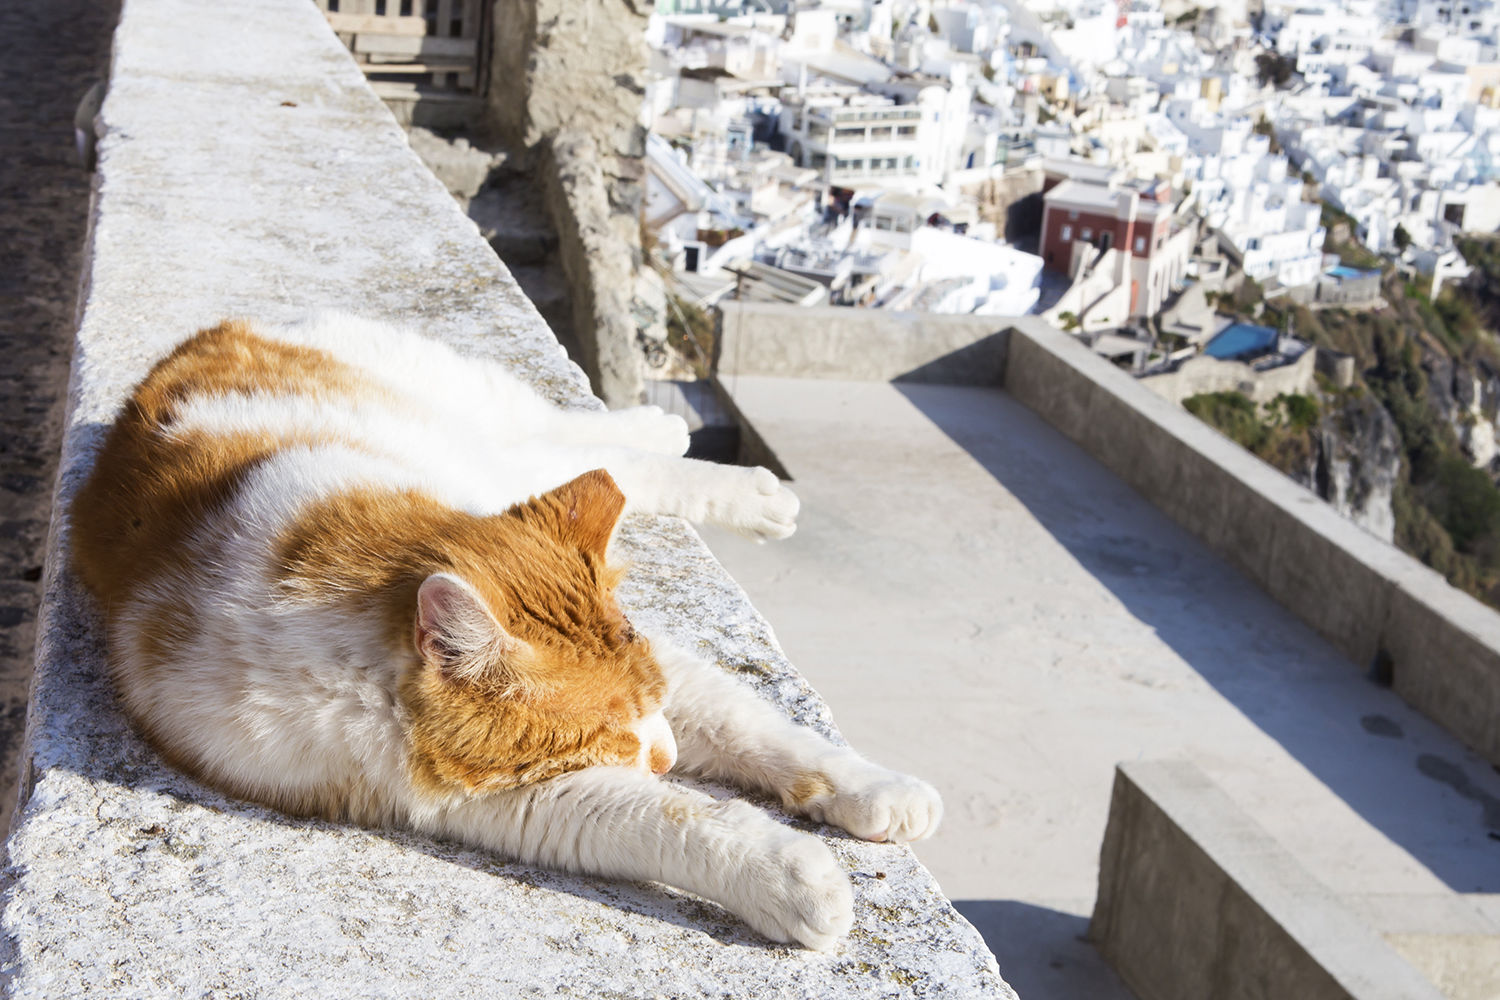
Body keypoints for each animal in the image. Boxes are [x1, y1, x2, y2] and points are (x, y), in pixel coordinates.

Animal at [73, 314, 936, 953]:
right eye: (605, 736)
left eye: (646, 709)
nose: (667, 758)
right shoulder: (488, 798)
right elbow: (669, 818)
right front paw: (794, 877)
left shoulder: (665, 669)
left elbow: (756, 727)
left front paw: (877, 788)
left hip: (484, 429)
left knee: (589, 446)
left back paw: (707, 459)